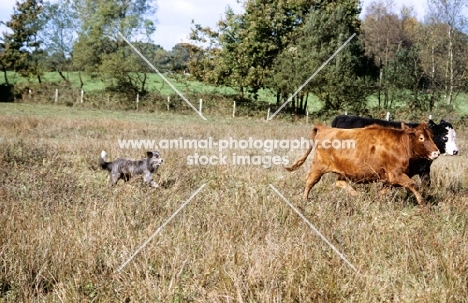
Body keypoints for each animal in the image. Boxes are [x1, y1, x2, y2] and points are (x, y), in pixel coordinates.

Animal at [288, 122, 440, 205]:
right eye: (421, 138)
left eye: (432, 136)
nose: (436, 152)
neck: (401, 145)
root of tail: (325, 128)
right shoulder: (396, 174)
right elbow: (413, 185)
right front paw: (423, 204)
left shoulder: (388, 180)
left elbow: (383, 192)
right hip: (318, 167)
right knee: (310, 182)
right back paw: (305, 199)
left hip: (343, 171)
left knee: (340, 182)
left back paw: (356, 195)